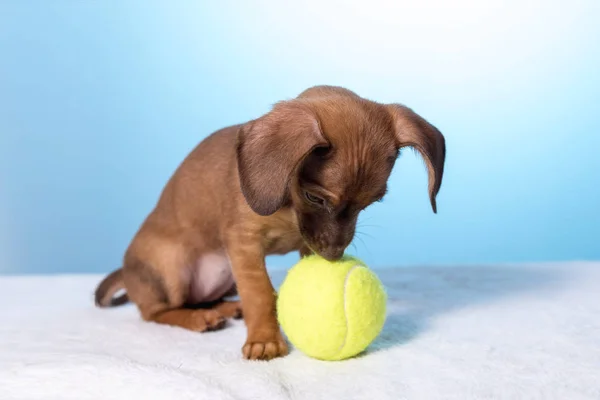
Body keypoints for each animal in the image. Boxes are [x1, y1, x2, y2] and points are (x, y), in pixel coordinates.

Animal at [96, 84, 446, 360]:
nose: (333, 256)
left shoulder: (305, 244)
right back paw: (200, 319)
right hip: (171, 266)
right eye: (315, 197)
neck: (287, 202)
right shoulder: (245, 244)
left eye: (370, 203)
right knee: (157, 312)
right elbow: (261, 293)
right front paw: (264, 340)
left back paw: (224, 309)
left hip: (223, 276)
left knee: (204, 299)